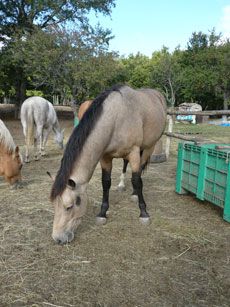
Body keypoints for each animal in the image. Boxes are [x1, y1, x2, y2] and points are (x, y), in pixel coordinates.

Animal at [49, 84, 167, 243]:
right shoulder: (105, 157)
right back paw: (123, 186)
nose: (58, 238)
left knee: (139, 172)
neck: (116, 119)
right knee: (125, 164)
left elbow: (136, 180)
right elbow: (106, 182)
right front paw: (102, 213)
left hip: (150, 146)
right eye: (54, 205)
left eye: (69, 207)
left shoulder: (134, 152)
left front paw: (143, 213)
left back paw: (135, 195)